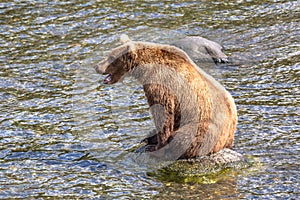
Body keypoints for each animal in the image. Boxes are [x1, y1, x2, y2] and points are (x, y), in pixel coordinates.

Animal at [94, 34, 237, 159]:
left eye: (111, 57)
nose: (96, 66)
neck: (145, 70)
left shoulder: (161, 83)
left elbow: (163, 114)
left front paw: (156, 147)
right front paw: (150, 139)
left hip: (204, 128)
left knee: (185, 138)